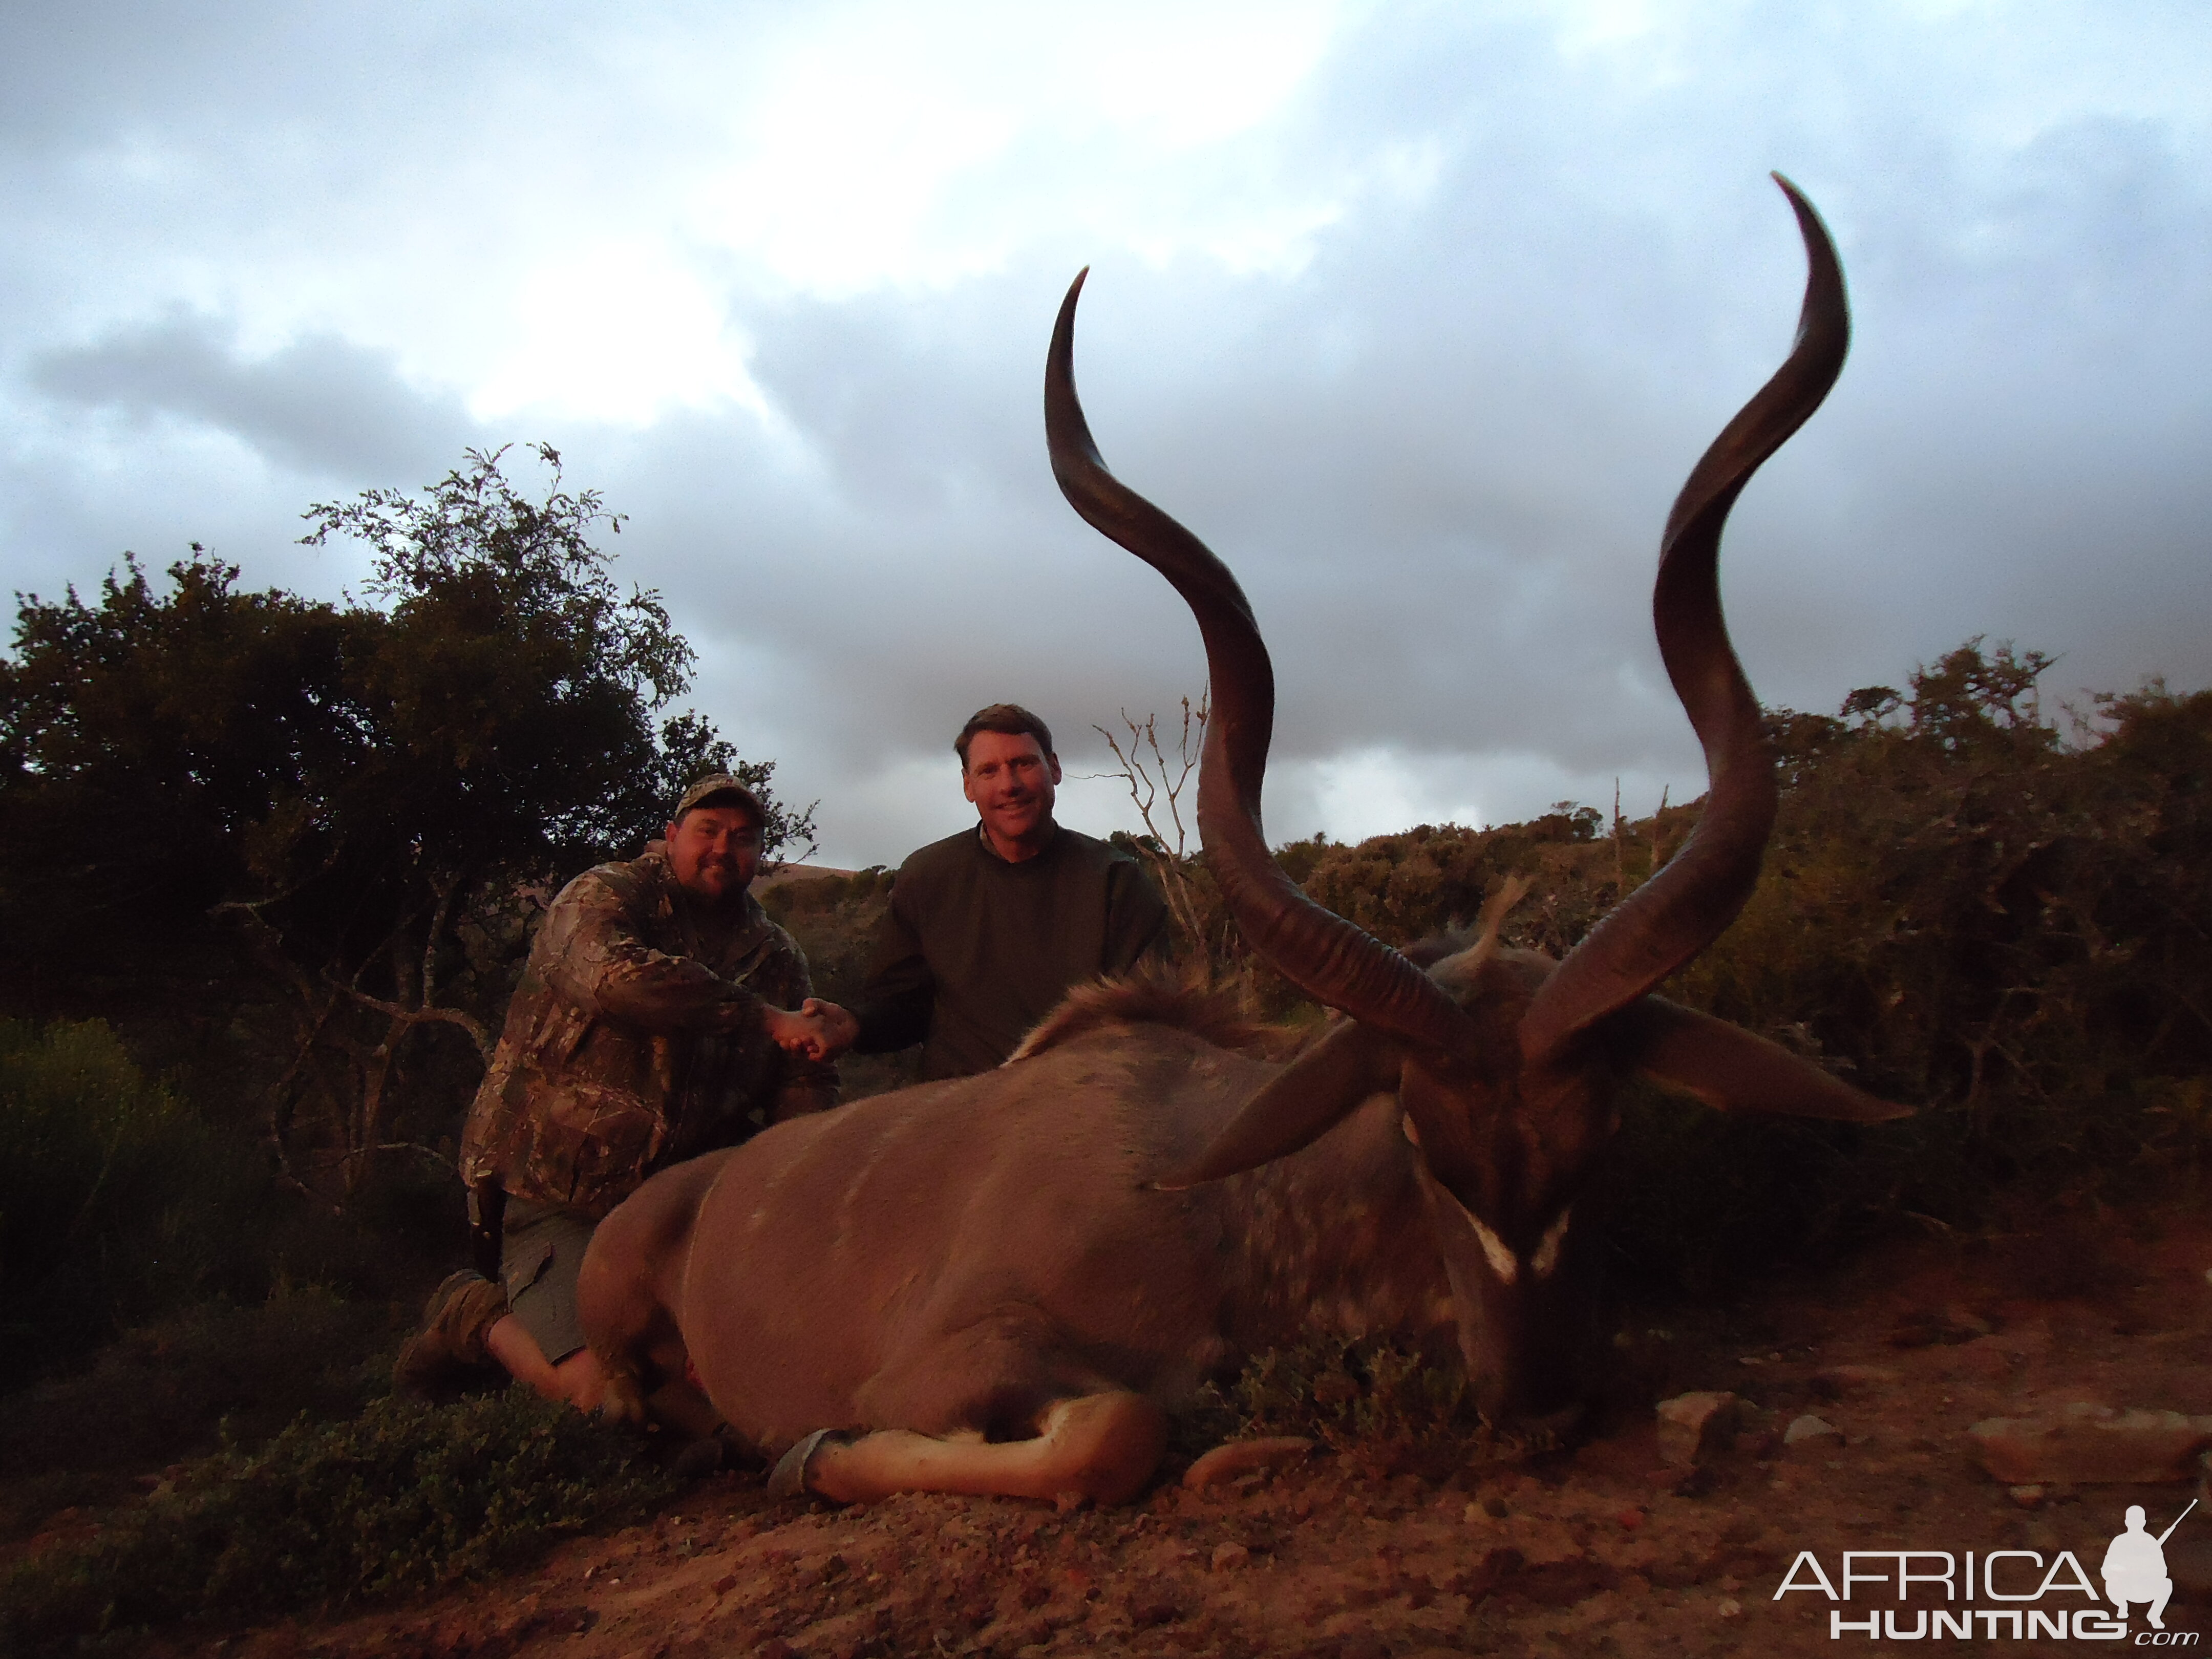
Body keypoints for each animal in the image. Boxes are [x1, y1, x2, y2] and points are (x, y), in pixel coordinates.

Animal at [579, 179, 1911, 1504]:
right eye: (1422, 1143)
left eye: (1609, 1136)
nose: (1539, 1408)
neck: (1223, 1211)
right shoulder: (946, 1364)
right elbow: (1114, 1427)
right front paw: (810, 1453)